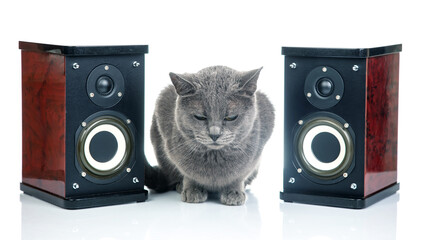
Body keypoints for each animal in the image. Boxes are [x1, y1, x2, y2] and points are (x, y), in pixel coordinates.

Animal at [145, 66, 276, 206]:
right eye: (200, 117)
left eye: (231, 117)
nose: (214, 134)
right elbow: (189, 175)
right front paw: (193, 189)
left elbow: (238, 176)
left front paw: (234, 192)